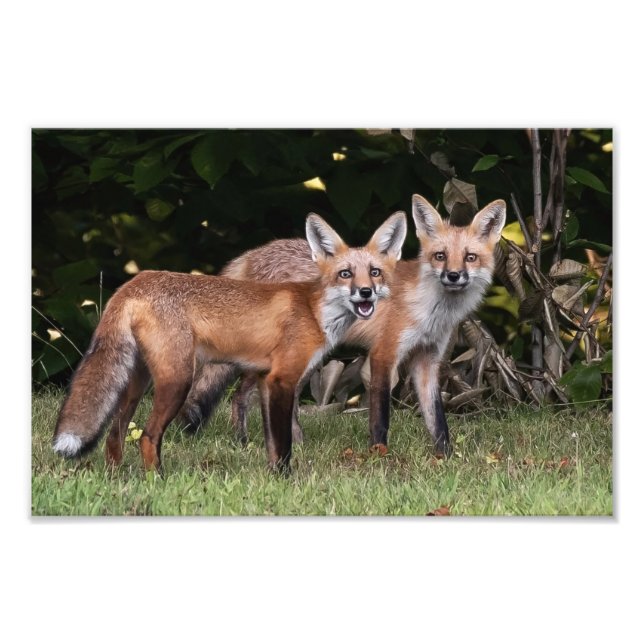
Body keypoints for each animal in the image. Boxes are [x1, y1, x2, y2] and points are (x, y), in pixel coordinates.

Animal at [52, 211, 407, 474]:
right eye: (345, 274)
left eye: (375, 272)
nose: (366, 293)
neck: (313, 310)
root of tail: (135, 280)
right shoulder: (282, 379)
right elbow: (284, 444)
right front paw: (286, 480)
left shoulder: (265, 380)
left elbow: (273, 444)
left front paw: (274, 479)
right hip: (177, 380)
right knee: (147, 438)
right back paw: (158, 480)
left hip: (137, 381)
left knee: (114, 434)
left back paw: (117, 478)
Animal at [179, 194, 506, 454]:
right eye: (440, 256)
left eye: (470, 257)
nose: (453, 275)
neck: (429, 309)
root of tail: (252, 254)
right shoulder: (384, 354)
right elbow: (380, 417)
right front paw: (379, 455)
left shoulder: (427, 360)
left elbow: (437, 419)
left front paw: (445, 457)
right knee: (240, 397)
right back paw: (243, 443)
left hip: (308, 357)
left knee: (285, 400)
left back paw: (297, 444)